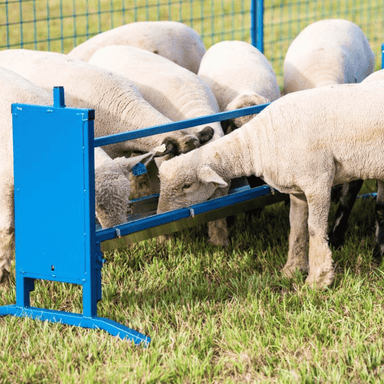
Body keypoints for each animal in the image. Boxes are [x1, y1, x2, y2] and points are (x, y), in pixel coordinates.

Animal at [155, 82, 384, 290]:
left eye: (187, 185)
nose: (160, 214)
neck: (258, 144)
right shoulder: (298, 189)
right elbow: (297, 227)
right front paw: (292, 270)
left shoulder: (318, 181)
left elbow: (314, 229)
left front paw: (318, 280)